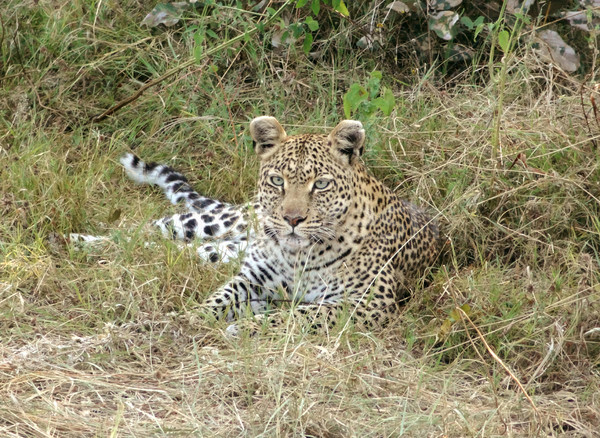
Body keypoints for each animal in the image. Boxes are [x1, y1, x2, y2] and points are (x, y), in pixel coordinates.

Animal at [117, 118, 438, 334]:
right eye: (277, 180)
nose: (292, 219)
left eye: (321, 184)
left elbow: (302, 315)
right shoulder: (253, 279)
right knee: (154, 228)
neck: (300, 256)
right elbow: (217, 300)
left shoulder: (369, 302)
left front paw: (247, 328)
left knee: (182, 249)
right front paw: (183, 319)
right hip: (225, 222)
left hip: (222, 249)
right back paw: (110, 251)